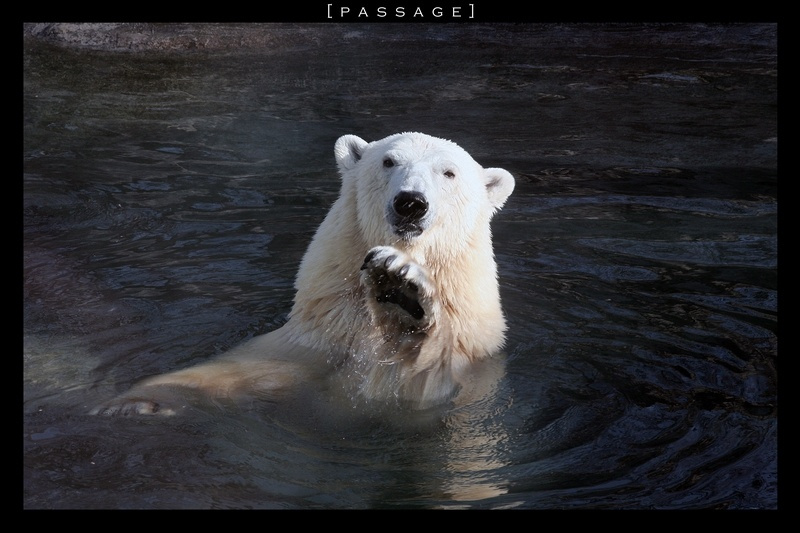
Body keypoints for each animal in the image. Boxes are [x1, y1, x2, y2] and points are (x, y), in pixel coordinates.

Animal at [90, 132, 515, 415]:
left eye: (449, 173)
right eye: (388, 161)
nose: (410, 202)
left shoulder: (467, 356)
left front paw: (402, 291)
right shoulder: (321, 336)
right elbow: (242, 370)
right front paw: (136, 402)